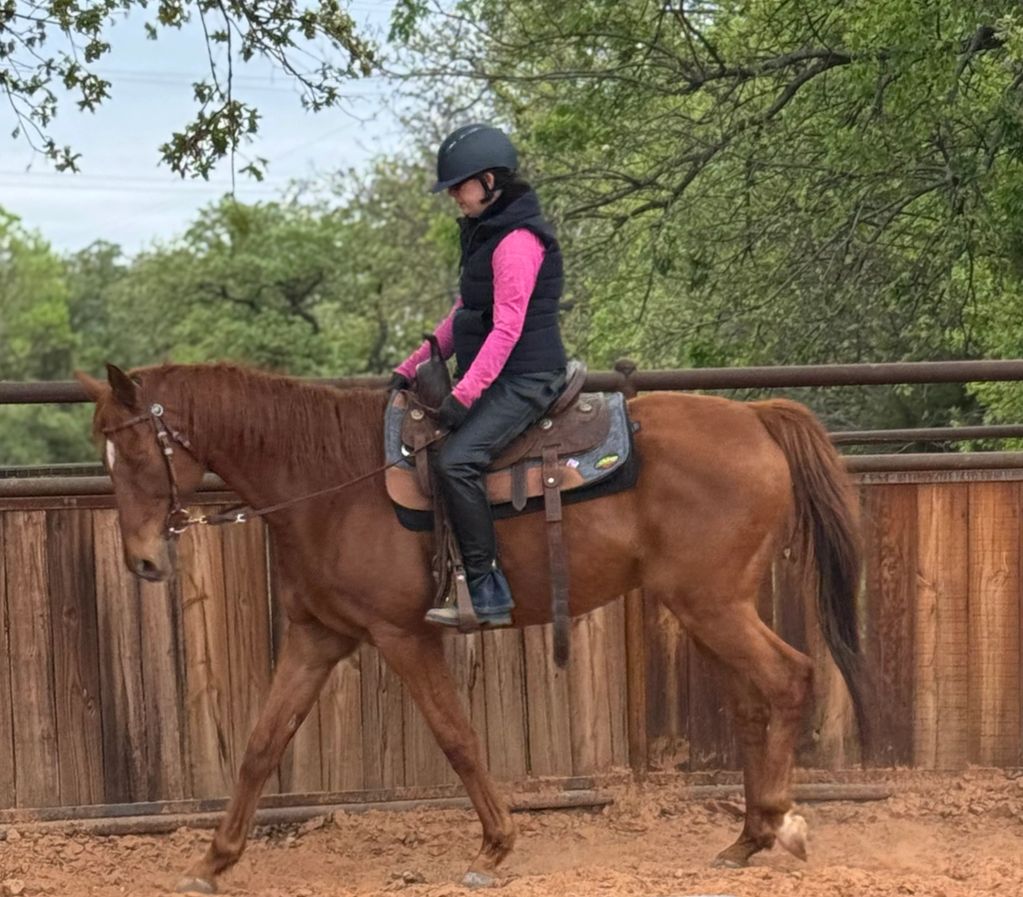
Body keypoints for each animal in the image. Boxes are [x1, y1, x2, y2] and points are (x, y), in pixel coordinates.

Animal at [76, 360, 870, 894]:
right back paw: (746, 838)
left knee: (788, 678)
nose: (143, 560)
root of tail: (756, 418)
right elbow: (261, 746)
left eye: (137, 451)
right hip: (708, 605)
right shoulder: (317, 636)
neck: (329, 483)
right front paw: (212, 860)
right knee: (752, 701)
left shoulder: (404, 636)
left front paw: (494, 848)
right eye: (104, 452)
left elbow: (457, 737)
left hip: (712, 602)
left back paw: (778, 823)